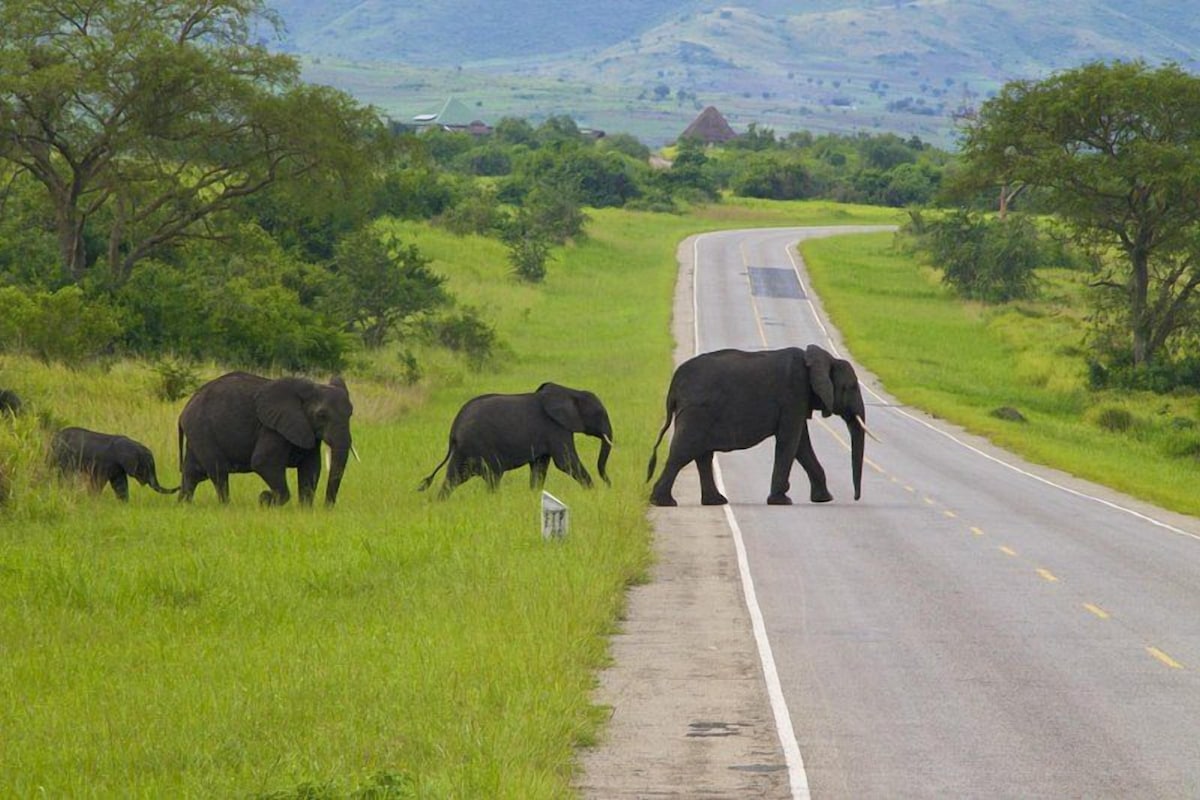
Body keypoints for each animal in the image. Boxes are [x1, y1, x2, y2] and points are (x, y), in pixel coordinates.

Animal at [178, 372, 354, 507]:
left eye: (351, 413)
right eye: (321, 415)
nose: (327, 507)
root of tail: (184, 411)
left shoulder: (306, 428)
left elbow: (311, 467)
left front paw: (305, 510)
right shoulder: (272, 428)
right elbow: (263, 462)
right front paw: (265, 499)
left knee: (192, 473)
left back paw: (183, 505)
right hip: (202, 430)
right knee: (218, 471)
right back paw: (225, 506)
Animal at [418, 382, 614, 499]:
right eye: (599, 414)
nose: (609, 485)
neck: (571, 392)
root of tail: (453, 430)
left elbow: (540, 467)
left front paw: (535, 495)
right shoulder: (556, 428)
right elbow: (566, 463)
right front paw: (592, 493)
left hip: (463, 450)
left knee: (454, 478)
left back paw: (440, 502)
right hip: (480, 446)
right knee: (492, 476)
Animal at [646, 345, 871, 507]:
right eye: (851, 387)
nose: (856, 498)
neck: (820, 358)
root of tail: (674, 383)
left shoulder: (797, 402)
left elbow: (801, 445)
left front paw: (824, 499)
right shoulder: (793, 395)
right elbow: (790, 442)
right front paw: (782, 501)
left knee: (702, 455)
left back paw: (715, 501)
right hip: (696, 412)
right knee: (683, 452)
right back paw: (663, 502)